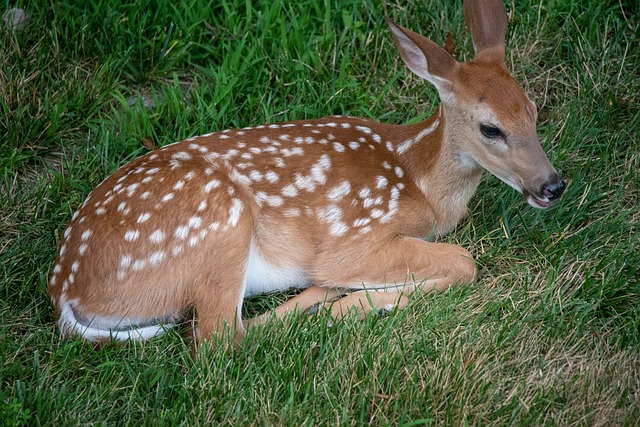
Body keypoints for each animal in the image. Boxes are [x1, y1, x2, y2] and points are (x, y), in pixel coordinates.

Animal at [46, 0, 564, 348]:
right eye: (490, 128)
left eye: (533, 110)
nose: (553, 185)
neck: (418, 180)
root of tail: (65, 288)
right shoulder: (357, 235)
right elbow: (464, 262)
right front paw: (358, 300)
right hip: (220, 220)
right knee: (220, 338)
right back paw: (330, 300)